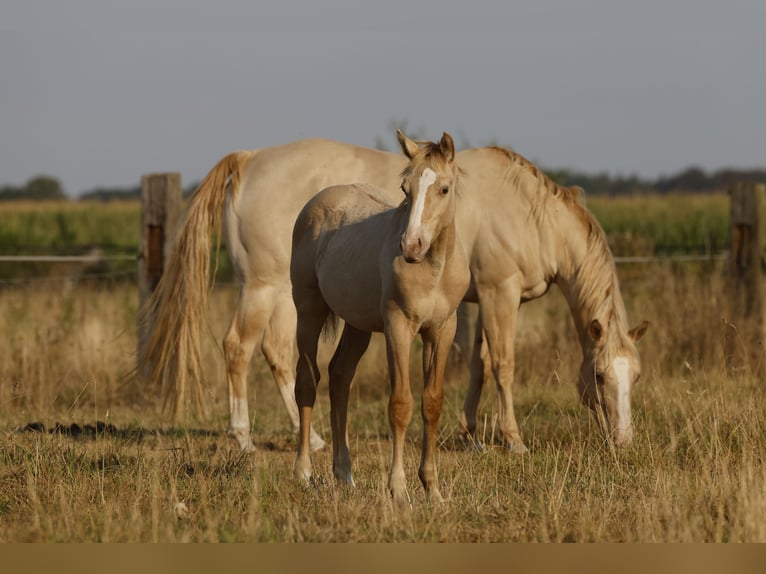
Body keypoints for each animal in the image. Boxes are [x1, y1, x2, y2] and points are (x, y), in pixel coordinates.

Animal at [139, 135, 648, 453]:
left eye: (636, 377)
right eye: (599, 376)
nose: (623, 441)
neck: (526, 209)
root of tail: (249, 158)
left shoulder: (476, 303)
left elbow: (479, 367)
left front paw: (473, 436)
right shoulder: (499, 295)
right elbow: (503, 366)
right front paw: (513, 440)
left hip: (287, 297)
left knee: (280, 356)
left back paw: (315, 439)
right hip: (263, 289)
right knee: (238, 348)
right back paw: (243, 438)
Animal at [291, 131, 469, 504]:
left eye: (444, 189)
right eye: (405, 188)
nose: (411, 246)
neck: (434, 270)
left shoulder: (442, 330)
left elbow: (432, 402)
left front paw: (432, 489)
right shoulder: (398, 327)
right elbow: (400, 404)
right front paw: (398, 489)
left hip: (357, 325)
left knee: (340, 377)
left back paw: (344, 474)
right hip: (308, 309)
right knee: (307, 380)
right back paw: (303, 471)